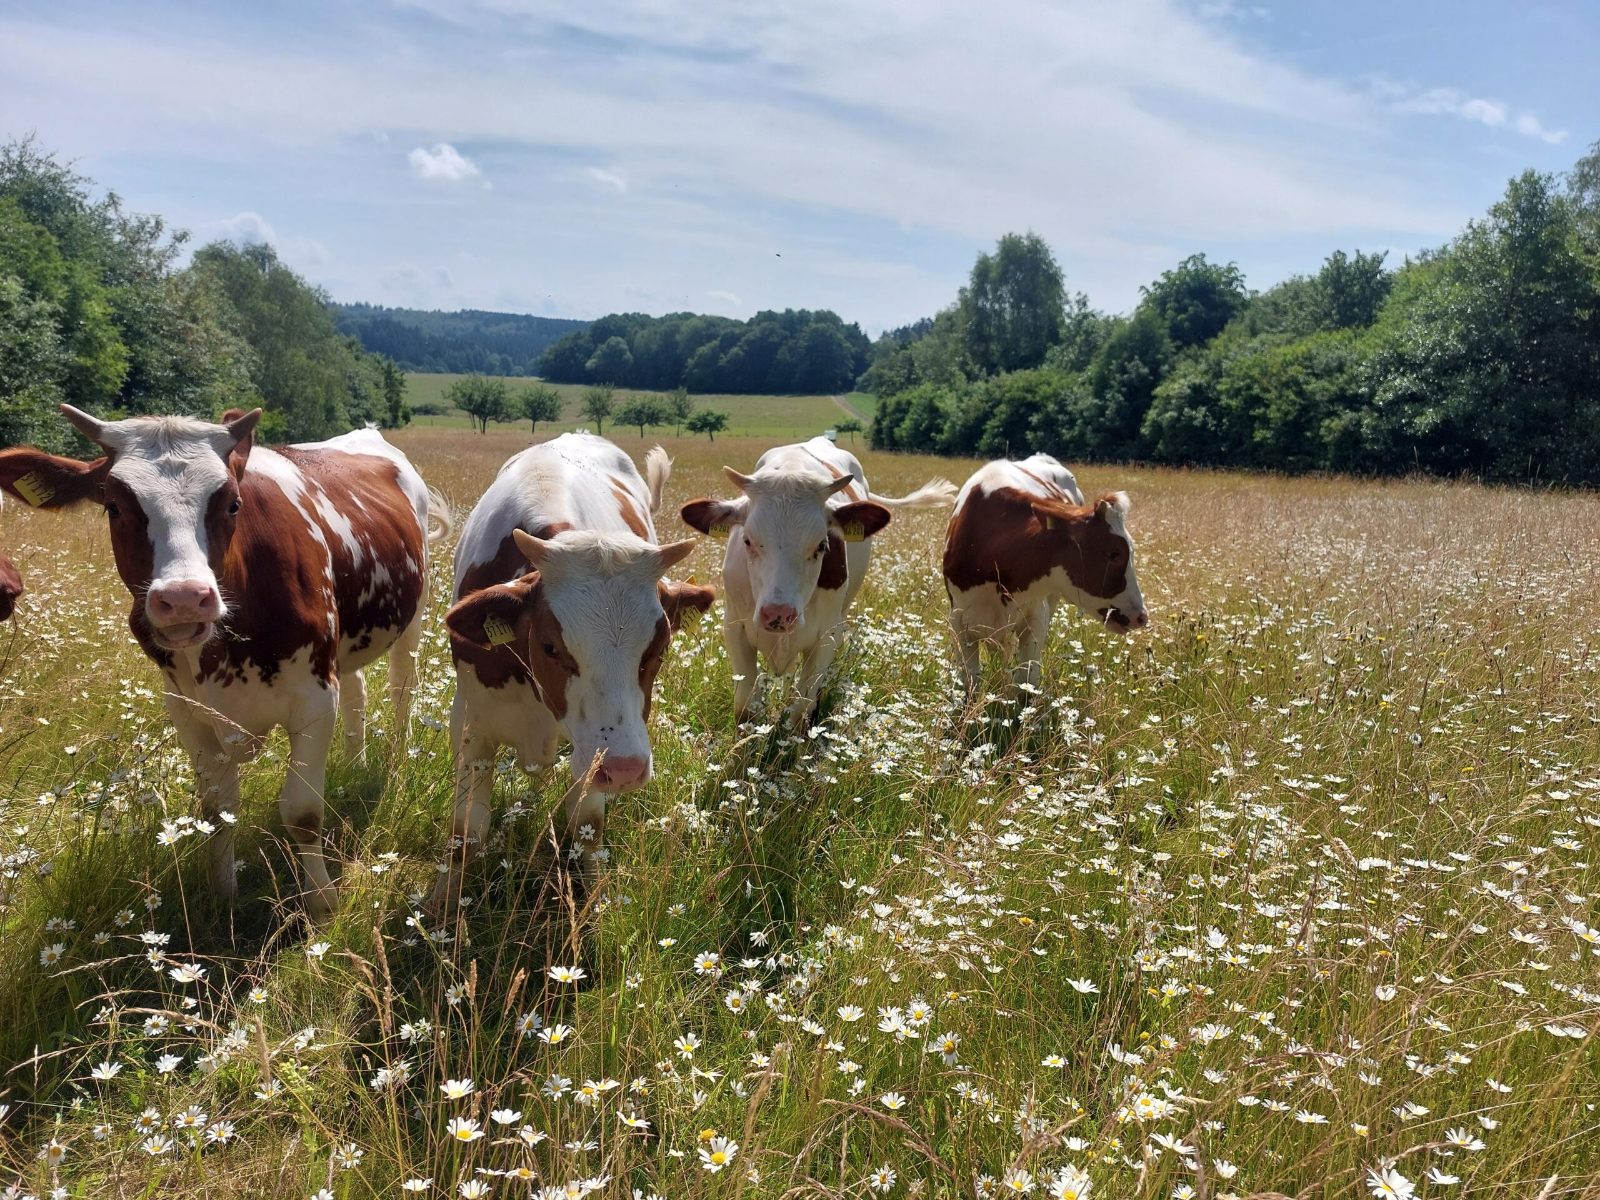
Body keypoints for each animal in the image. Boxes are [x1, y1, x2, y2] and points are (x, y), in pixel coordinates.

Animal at [0, 405, 447, 919]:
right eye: (114, 506)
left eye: (232, 503)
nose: (184, 599)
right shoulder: (187, 709)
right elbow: (215, 811)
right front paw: (223, 895)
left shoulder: (315, 698)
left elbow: (303, 812)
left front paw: (321, 904)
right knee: (358, 691)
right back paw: (355, 765)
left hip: (413, 614)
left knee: (402, 690)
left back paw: (392, 767)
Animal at [434, 433, 715, 909]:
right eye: (550, 646)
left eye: (658, 649)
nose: (625, 769)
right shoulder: (471, 725)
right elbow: (466, 832)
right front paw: (446, 904)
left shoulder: (590, 754)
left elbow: (587, 828)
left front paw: (592, 901)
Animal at [679, 436, 956, 726]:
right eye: (747, 541)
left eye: (821, 545)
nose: (778, 614)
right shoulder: (735, 628)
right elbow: (746, 707)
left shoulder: (826, 636)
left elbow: (802, 709)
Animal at [943, 455, 1148, 696]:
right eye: (1114, 554)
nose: (1141, 616)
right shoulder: (958, 622)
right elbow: (970, 684)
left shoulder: (1035, 618)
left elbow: (1026, 684)